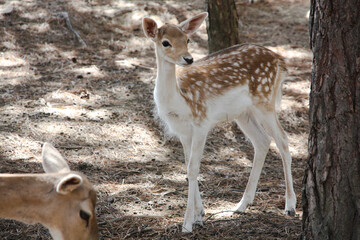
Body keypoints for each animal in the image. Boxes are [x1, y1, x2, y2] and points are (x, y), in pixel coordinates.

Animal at [142, 11, 296, 232]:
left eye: (187, 40)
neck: (179, 101)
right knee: (262, 141)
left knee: (283, 140)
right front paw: (200, 215)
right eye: (165, 42)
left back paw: (290, 206)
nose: (188, 59)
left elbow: (194, 168)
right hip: (243, 113)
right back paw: (242, 204)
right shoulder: (182, 131)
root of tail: (279, 60)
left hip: (265, 100)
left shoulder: (201, 122)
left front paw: (187, 224)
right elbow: (188, 167)